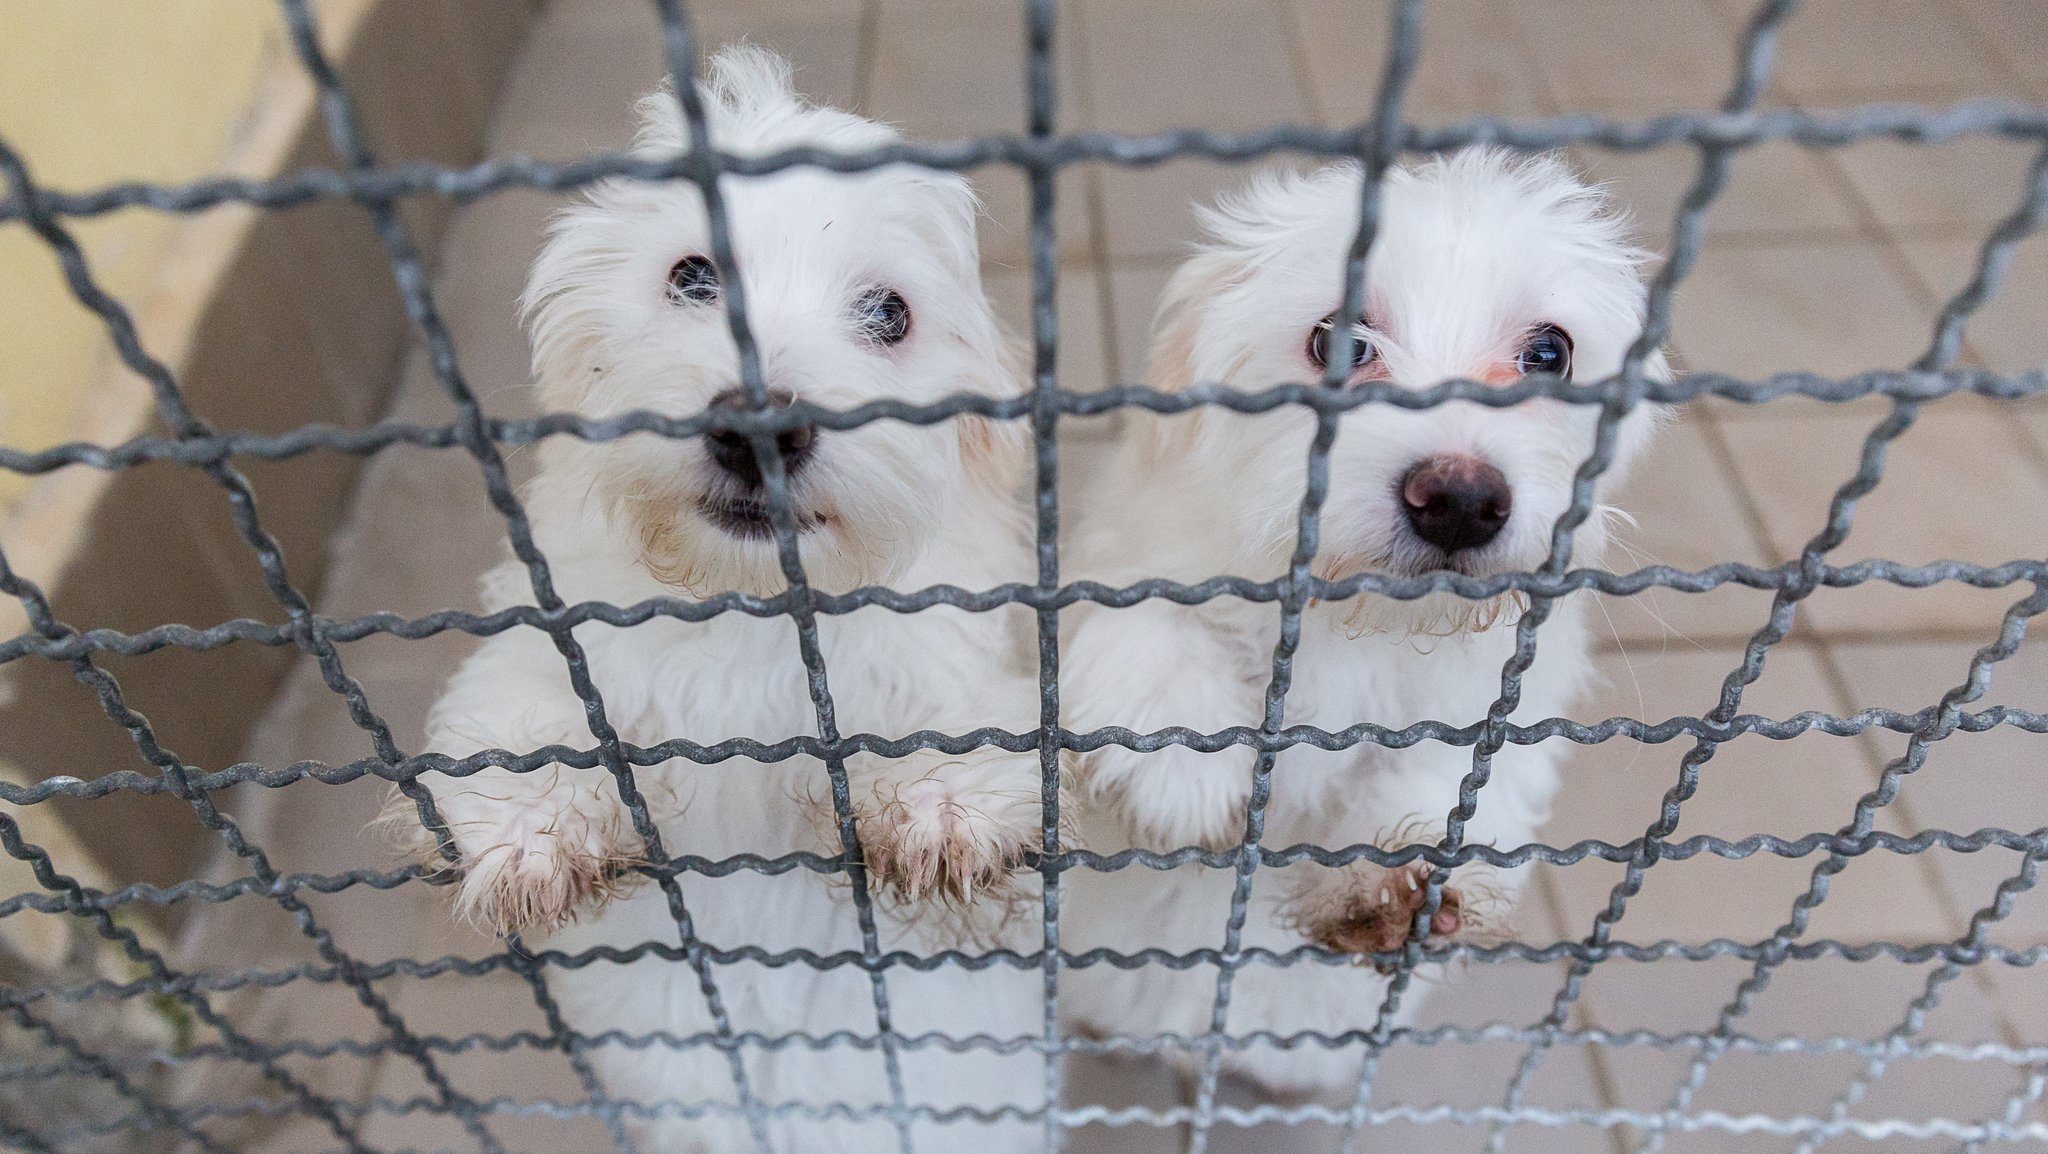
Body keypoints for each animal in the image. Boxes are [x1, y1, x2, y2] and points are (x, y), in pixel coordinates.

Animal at [421, 49, 1048, 1154]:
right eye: (691, 276)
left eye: (889, 313)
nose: (757, 424)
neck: (748, 611)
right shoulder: (562, 631)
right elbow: (526, 700)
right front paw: (533, 817)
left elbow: (950, 713)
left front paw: (940, 791)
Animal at [1056, 148, 1662, 1098]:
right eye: (1339, 340)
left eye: (1550, 354)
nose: (1460, 498)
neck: (1357, 621)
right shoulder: (1114, 562)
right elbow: (1142, 623)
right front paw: (1182, 765)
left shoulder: (1514, 692)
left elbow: (1459, 766)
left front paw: (1401, 878)